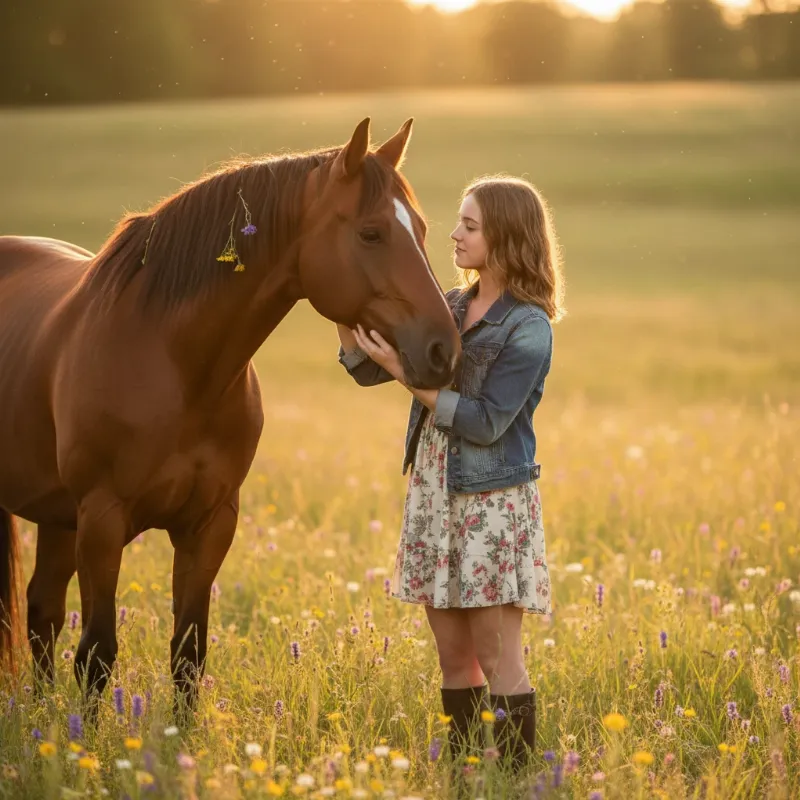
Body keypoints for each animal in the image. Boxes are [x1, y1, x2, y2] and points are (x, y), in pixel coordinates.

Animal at [0, 117, 461, 715]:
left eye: (422, 230)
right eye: (371, 233)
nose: (444, 350)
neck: (174, 361)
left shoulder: (210, 523)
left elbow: (188, 654)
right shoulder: (101, 520)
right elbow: (97, 654)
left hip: (58, 516)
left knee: (42, 611)